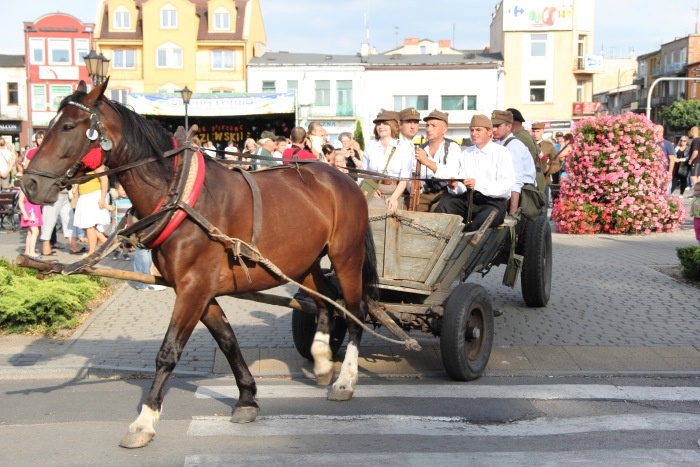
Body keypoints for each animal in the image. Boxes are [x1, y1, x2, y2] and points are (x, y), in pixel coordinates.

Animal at [20, 81, 378, 450]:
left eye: (68, 126)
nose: (28, 184)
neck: (179, 197)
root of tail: (342, 178)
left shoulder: (194, 289)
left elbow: (168, 351)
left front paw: (144, 421)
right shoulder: (198, 290)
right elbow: (228, 340)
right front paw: (247, 398)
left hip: (346, 256)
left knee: (355, 311)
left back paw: (345, 380)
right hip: (302, 263)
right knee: (326, 300)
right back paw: (321, 358)